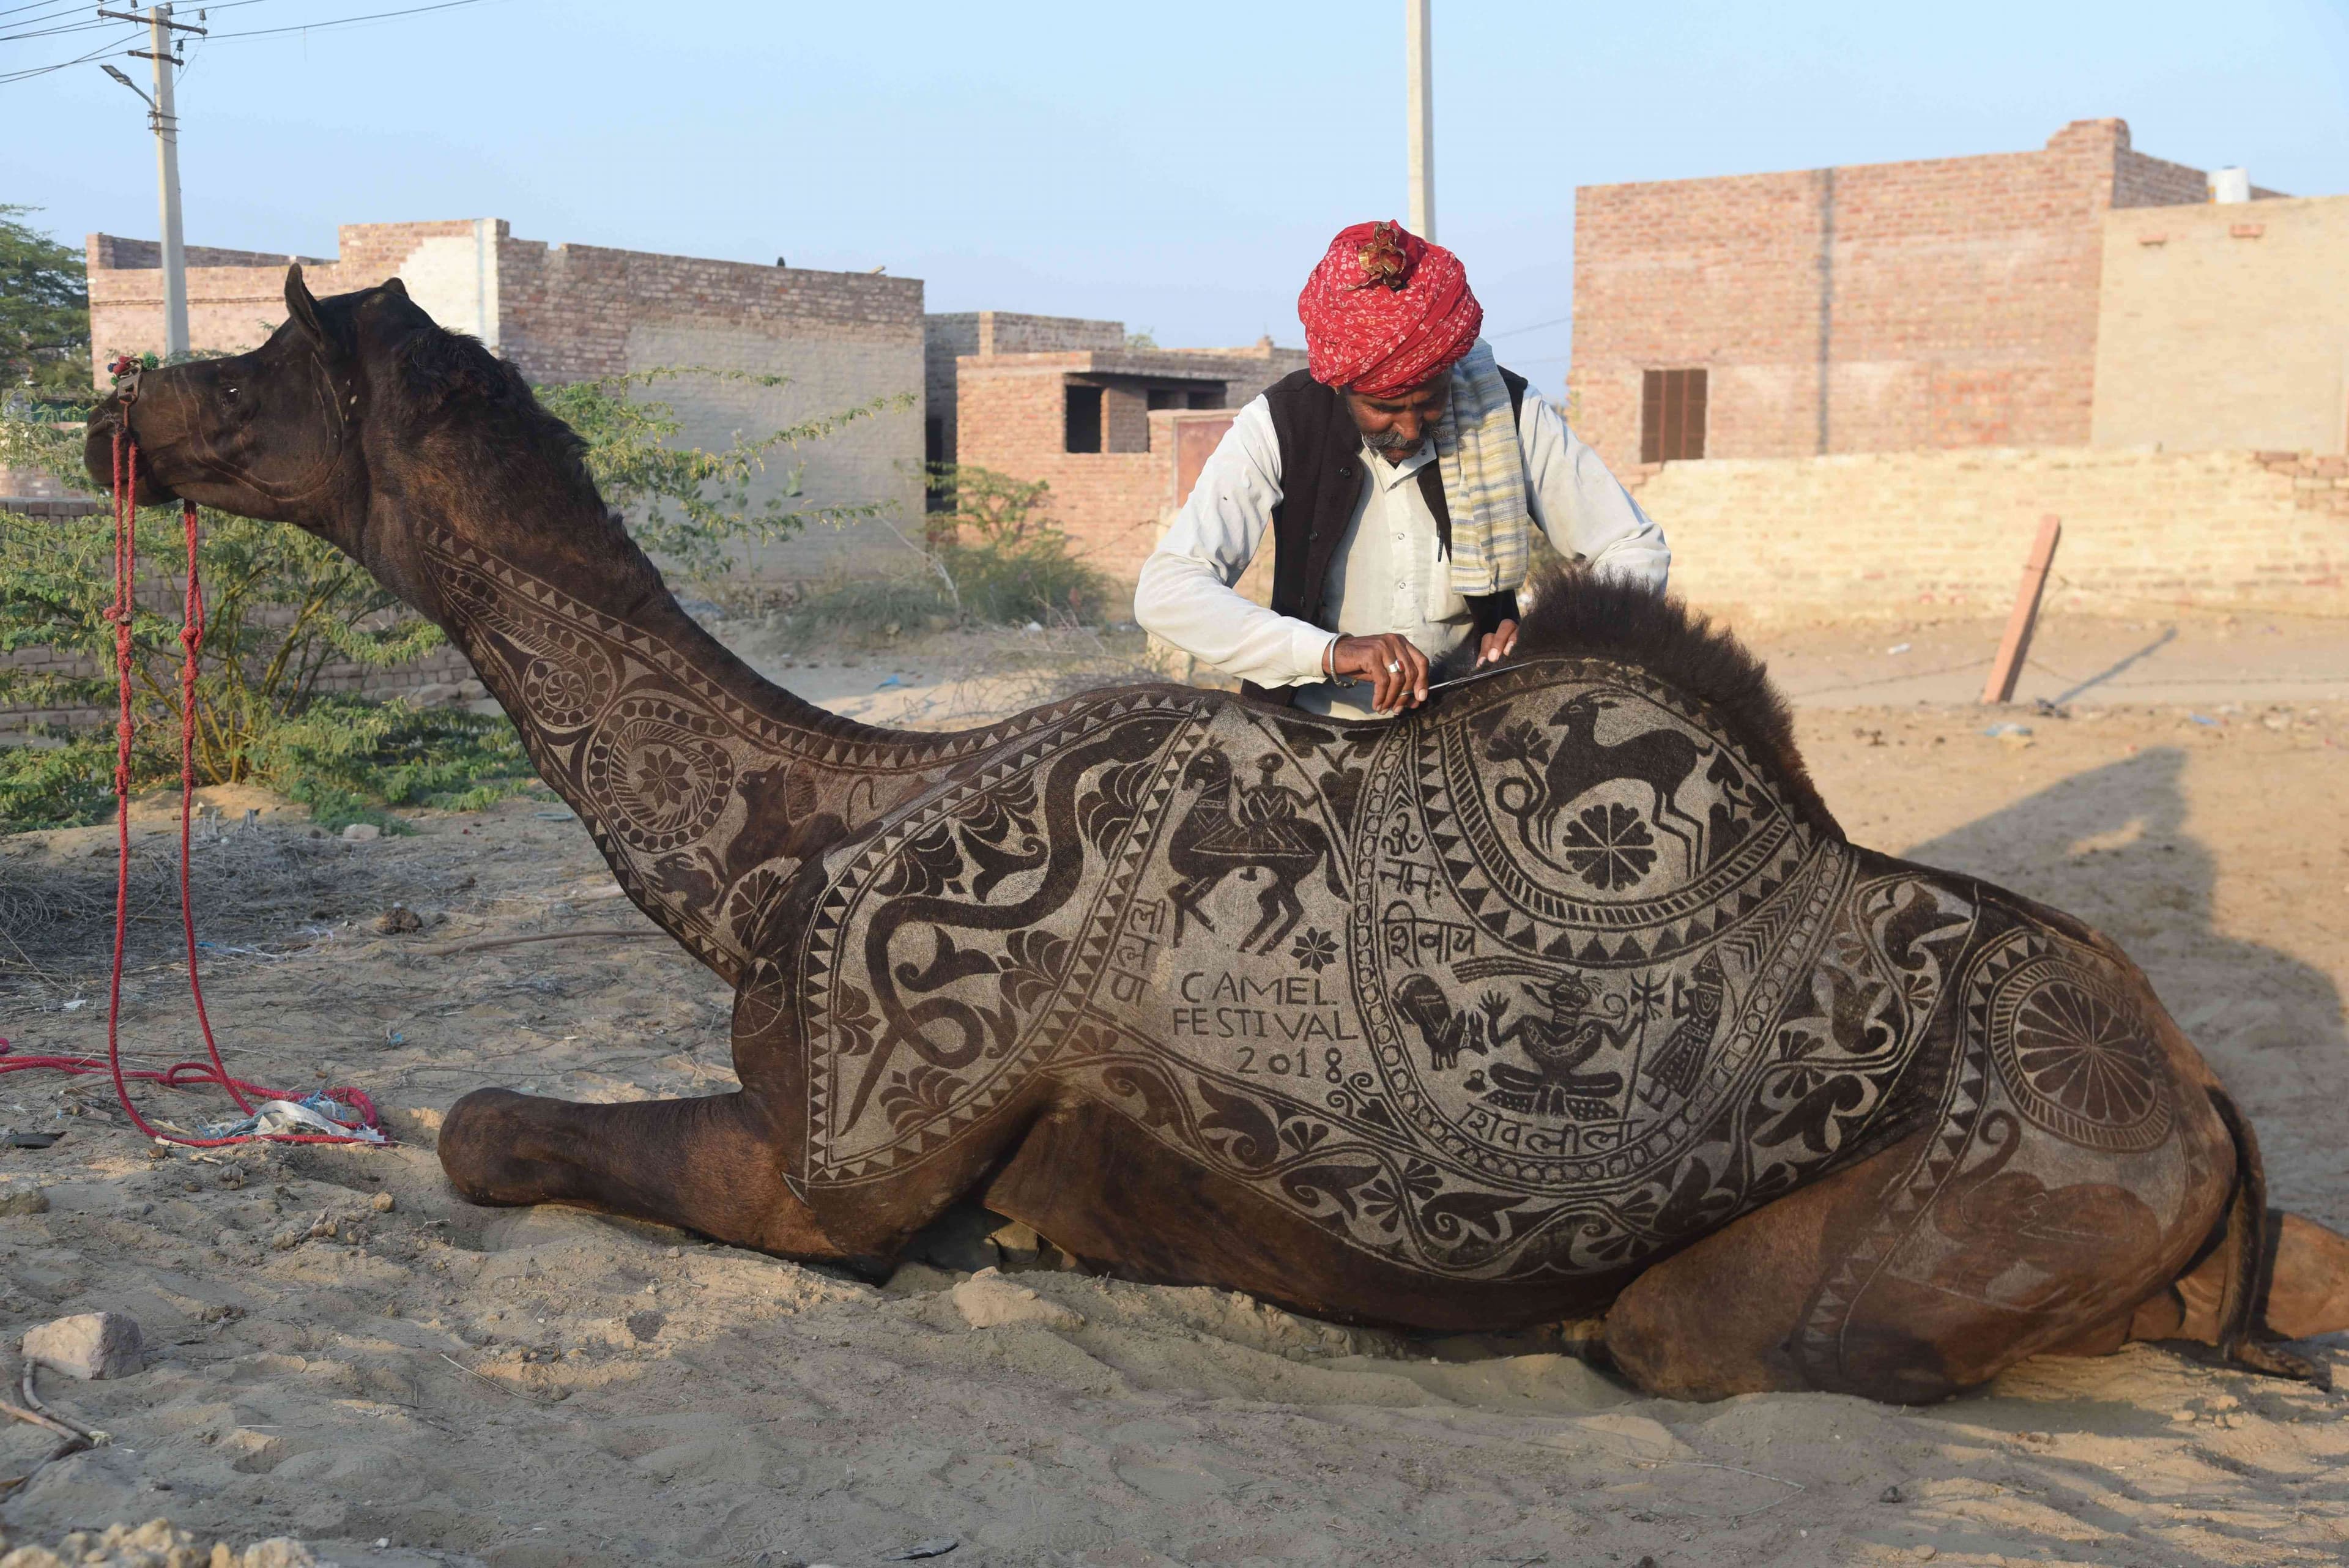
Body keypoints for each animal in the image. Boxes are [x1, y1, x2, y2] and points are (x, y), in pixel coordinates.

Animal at [87, 263, 2349, 1401]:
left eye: (260, 365)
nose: (112, 416)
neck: (792, 842)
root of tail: (2191, 1095)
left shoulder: (840, 1162)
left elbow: (480, 1125)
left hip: (1860, 1254)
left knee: (1695, 1332)